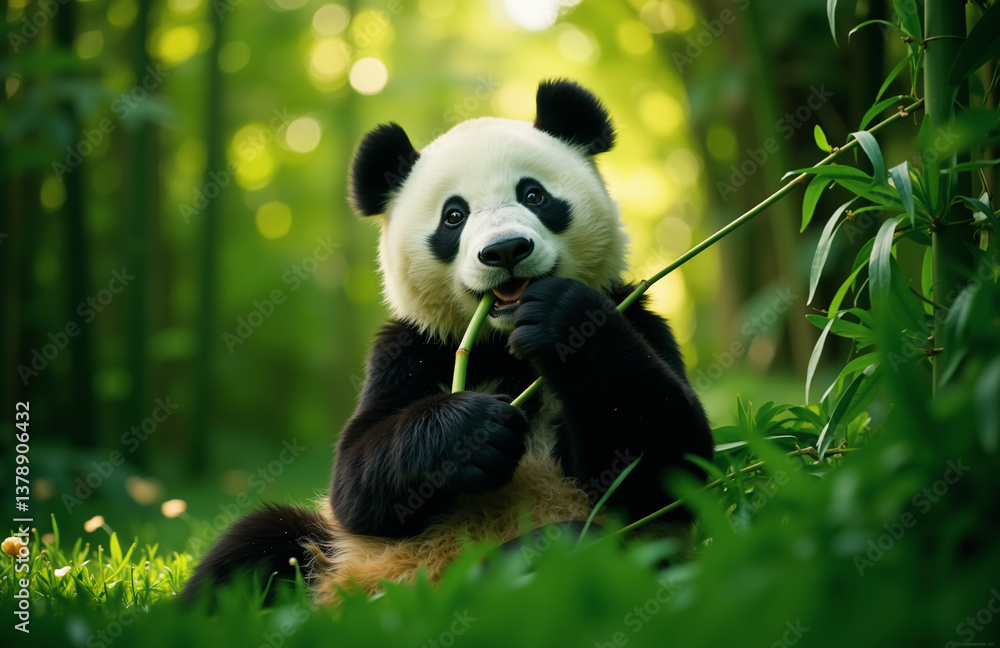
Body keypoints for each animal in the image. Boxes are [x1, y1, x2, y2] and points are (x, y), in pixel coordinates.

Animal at [183, 79, 714, 605]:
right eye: (454, 216)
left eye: (534, 194)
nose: (505, 249)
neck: (501, 341)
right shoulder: (409, 349)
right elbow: (354, 480)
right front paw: (472, 431)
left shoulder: (638, 318)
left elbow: (664, 465)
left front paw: (561, 318)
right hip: (335, 548)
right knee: (257, 541)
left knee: (566, 549)